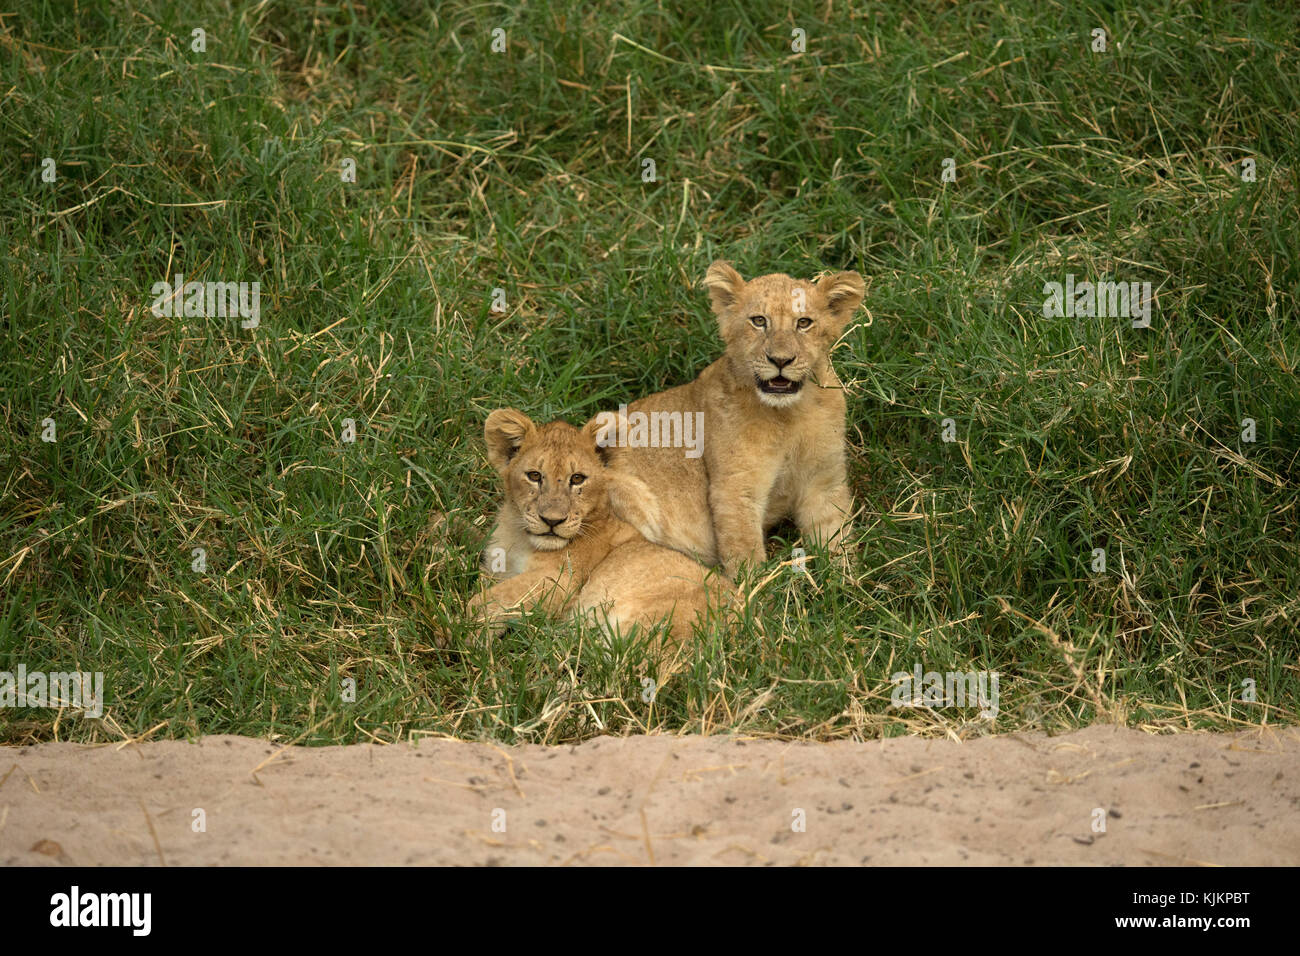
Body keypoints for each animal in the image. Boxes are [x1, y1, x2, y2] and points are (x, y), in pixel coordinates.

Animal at [467, 408, 735, 656]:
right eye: (534, 475)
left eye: (577, 478)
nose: (552, 520)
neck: (518, 535)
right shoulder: (495, 570)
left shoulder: (559, 581)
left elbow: (486, 600)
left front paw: (466, 634)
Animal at [594, 261, 865, 579]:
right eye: (759, 321)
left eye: (804, 322)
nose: (780, 360)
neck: (789, 415)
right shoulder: (735, 488)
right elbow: (744, 550)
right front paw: (757, 589)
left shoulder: (824, 480)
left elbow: (836, 536)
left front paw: (847, 582)